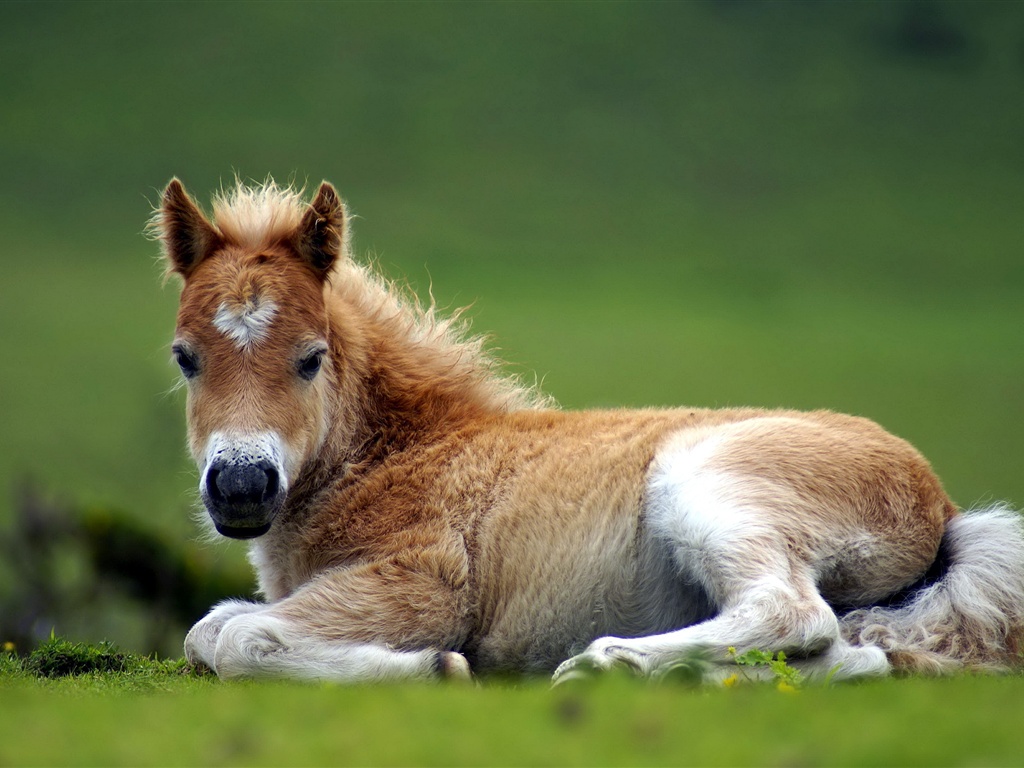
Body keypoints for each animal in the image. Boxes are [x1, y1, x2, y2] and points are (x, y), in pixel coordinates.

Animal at [152, 178, 1024, 683]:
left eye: (311, 358)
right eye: (185, 357)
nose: (240, 486)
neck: (402, 452)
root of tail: (942, 507)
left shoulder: (418, 582)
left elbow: (236, 640)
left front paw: (436, 666)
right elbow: (209, 630)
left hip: (707, 481)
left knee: (792, 613)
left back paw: (606, 663)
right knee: (851, 655)